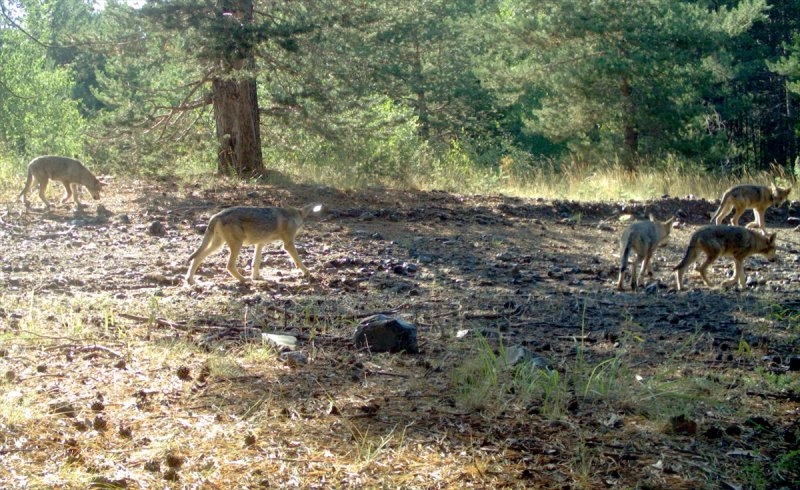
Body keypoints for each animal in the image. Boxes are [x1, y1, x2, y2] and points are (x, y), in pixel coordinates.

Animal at [186, 204, 324, 288]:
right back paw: (243, 279)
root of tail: (217, 215)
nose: (302, 230)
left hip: (218, 245)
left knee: (196, 258)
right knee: (229, 265)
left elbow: (255, 262)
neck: (292, 216)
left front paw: (256, 277)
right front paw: (308, 273)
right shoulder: (288, 244)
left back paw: (190, 280)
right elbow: (299, 261)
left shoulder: (260, 243)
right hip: (236, 245)